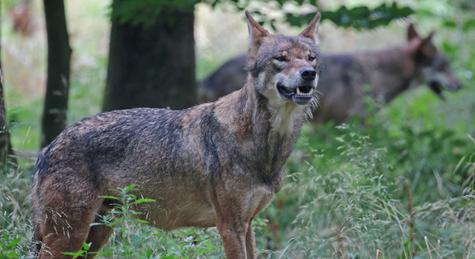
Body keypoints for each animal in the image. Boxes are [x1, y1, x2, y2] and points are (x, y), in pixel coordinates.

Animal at [27, 11, 322, 258]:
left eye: (311, 58)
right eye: (281, 58)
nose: (309, 74)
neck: (264, 145)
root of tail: (49, 146)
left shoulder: (247, 225)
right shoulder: (230, 225)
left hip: (94, 235)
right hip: (70, 236)